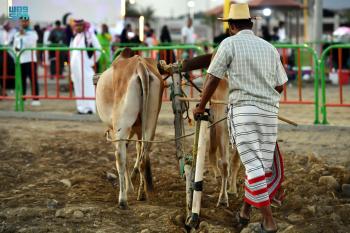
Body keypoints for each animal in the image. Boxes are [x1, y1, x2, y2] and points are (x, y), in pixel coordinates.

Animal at [95, 48, 164, 208]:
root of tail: (140, 66)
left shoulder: (116, 131)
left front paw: (128, 189)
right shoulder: (138, 129)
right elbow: (138, 151)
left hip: (122, 125)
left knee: (120, 157)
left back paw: (122, 200)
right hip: (150, 122)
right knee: (144, 157)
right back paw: (142, 194)